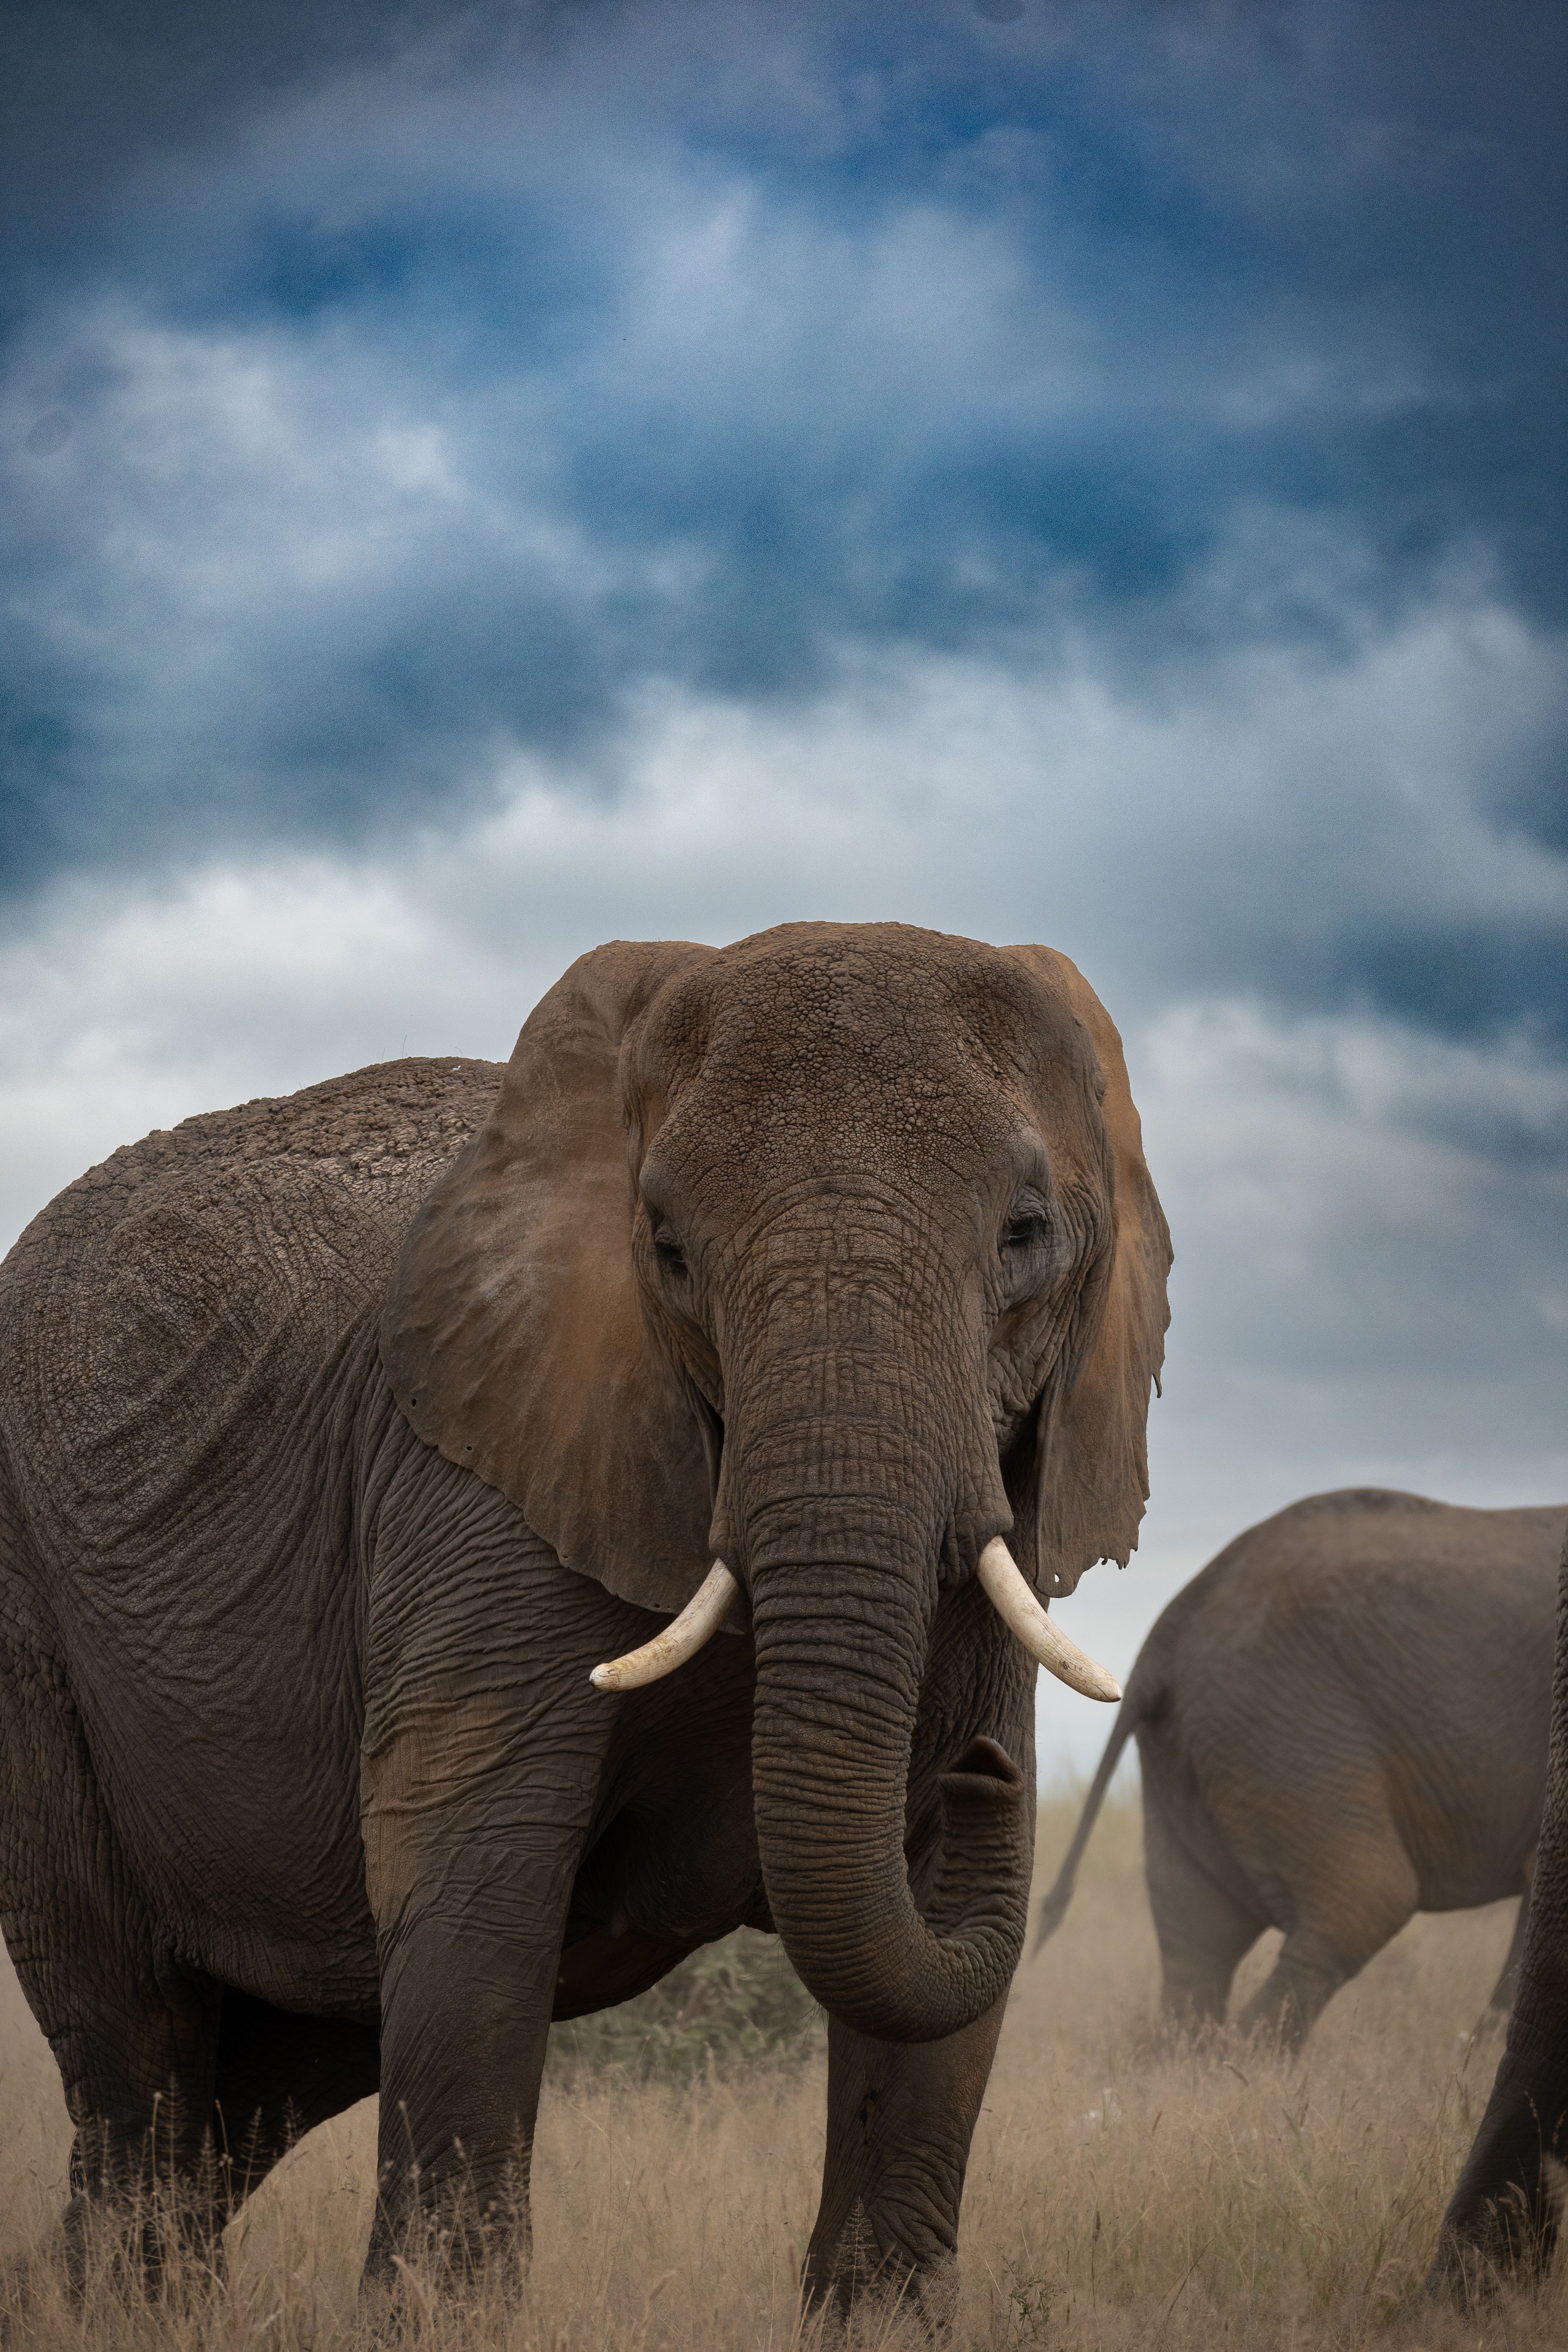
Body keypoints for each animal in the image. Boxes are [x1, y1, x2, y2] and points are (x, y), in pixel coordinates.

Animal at [0, 920, 1169, 2328]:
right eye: (666, 1249)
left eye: (1025, 1235)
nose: (993, 1770)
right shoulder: (470, 1498)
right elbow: (474, 1863)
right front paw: (436, 2325)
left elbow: (934, 1932)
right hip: (28, 1623)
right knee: (137, 2051)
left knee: (255, 2082)